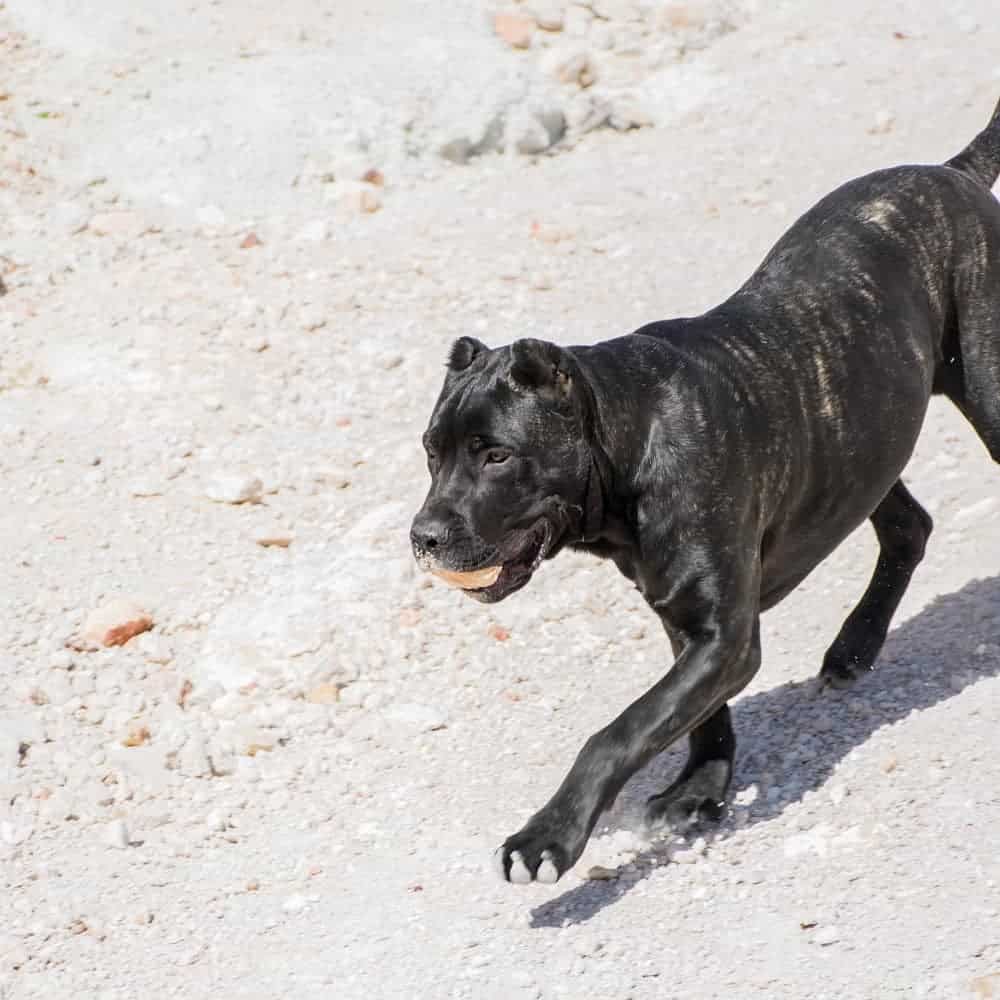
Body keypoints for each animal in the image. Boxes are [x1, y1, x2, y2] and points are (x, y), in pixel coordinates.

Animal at [408, 99, 1000, 884]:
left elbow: (619, 731)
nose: (423, 537)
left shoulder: (723, 635)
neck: (628, 444)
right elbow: (693, 717)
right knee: (908, 524)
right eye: (430, 453)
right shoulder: (690, 622)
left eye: (497, 455)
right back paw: (854, 646)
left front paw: (549, 837)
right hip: (861, 442)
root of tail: (951, 174)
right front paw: (702, 789)